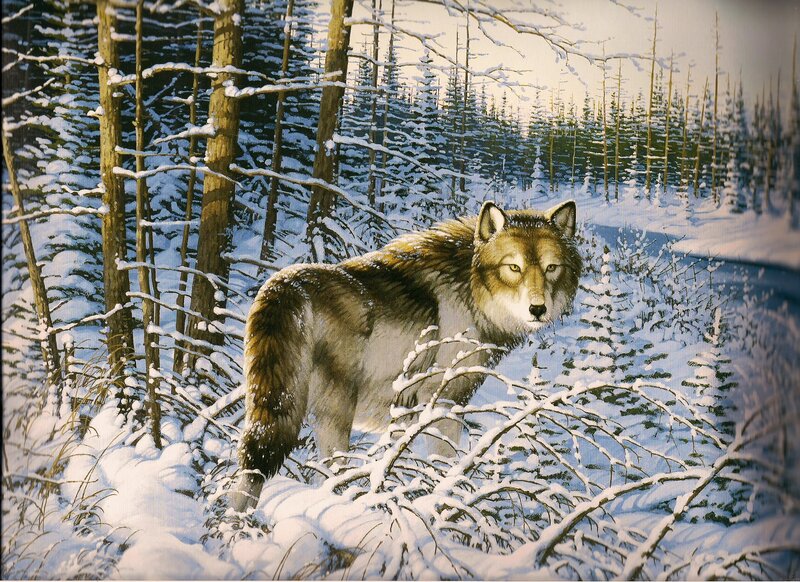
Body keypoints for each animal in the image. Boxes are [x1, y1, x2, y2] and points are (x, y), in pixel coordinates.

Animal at [230, 200, 582, 511]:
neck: (469, 289)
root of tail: (286, 285)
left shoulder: (406, 408)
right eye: (514, 267)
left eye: (551, 268)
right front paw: (442, 501)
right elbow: (444, 462)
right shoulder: (443, 401)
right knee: (325, 474)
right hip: (335, 414)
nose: (538, 309)